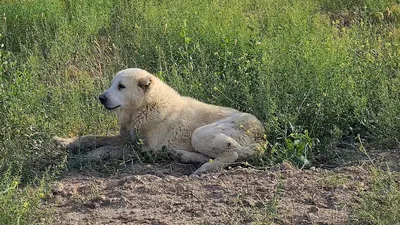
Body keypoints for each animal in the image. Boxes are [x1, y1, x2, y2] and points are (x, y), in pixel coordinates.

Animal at [54, 68, 266, 174]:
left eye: (121, 86)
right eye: (112, 84)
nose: (101, 98)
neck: (145, 106)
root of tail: (261, 132)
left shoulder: (145, 149)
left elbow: (105, 149)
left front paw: (83, 157)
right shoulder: (125, 137)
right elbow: (92, 138)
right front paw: (65, 142)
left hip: (201, 133)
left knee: (232, 154)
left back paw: (203, 169)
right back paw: (185, 156)